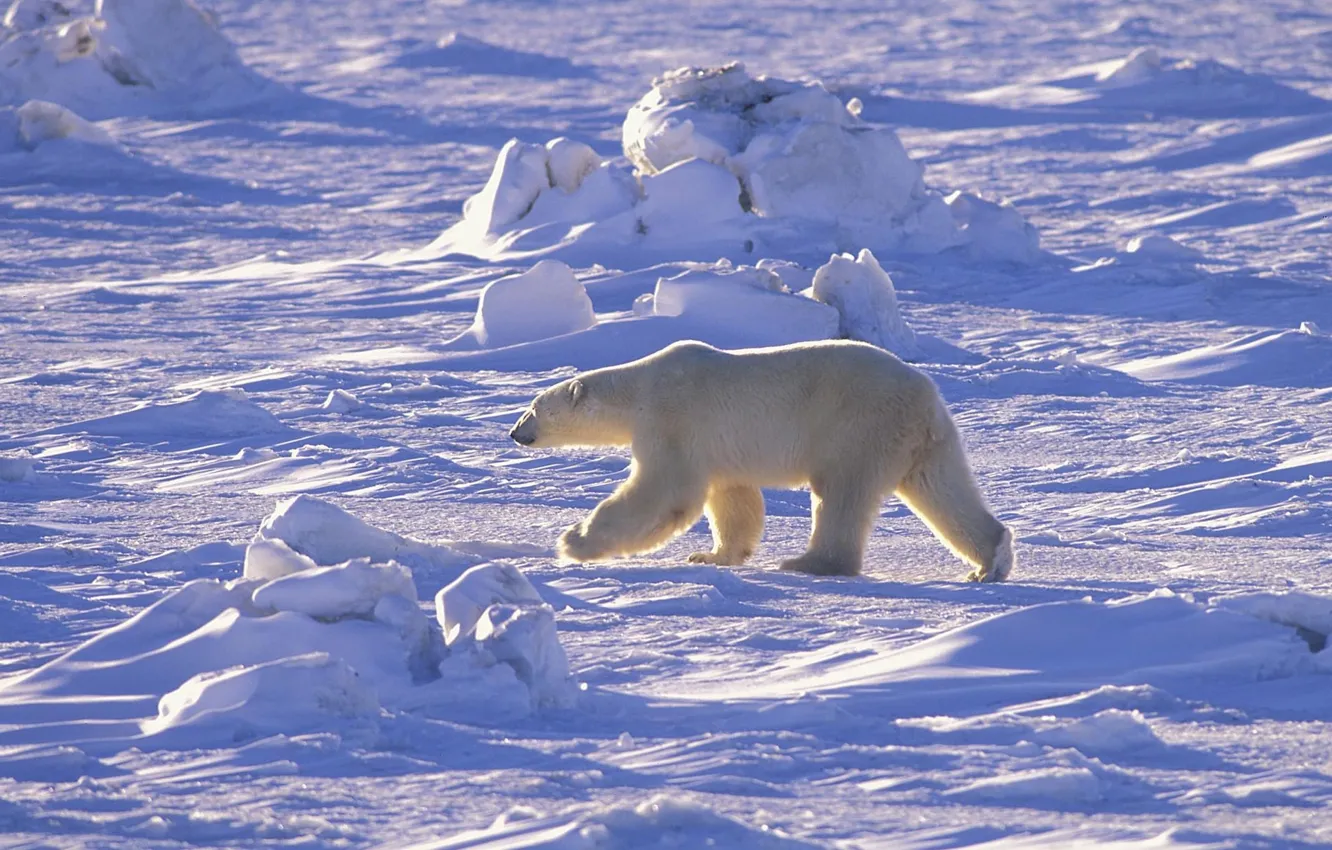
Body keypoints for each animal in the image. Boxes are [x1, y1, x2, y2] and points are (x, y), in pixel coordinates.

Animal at [511, 343, 1017, 583]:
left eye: (533, 408)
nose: (515, 433)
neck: (640, 388)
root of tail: (925, 397)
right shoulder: (716, 447)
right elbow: (732, 499)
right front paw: (711, 554)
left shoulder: (672, 420)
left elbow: (665, 492)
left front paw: (573, 541)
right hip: (925, 442)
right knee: (943, 489)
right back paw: (989, 561)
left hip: (858, 426)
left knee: (841, 494)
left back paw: (808, 562)